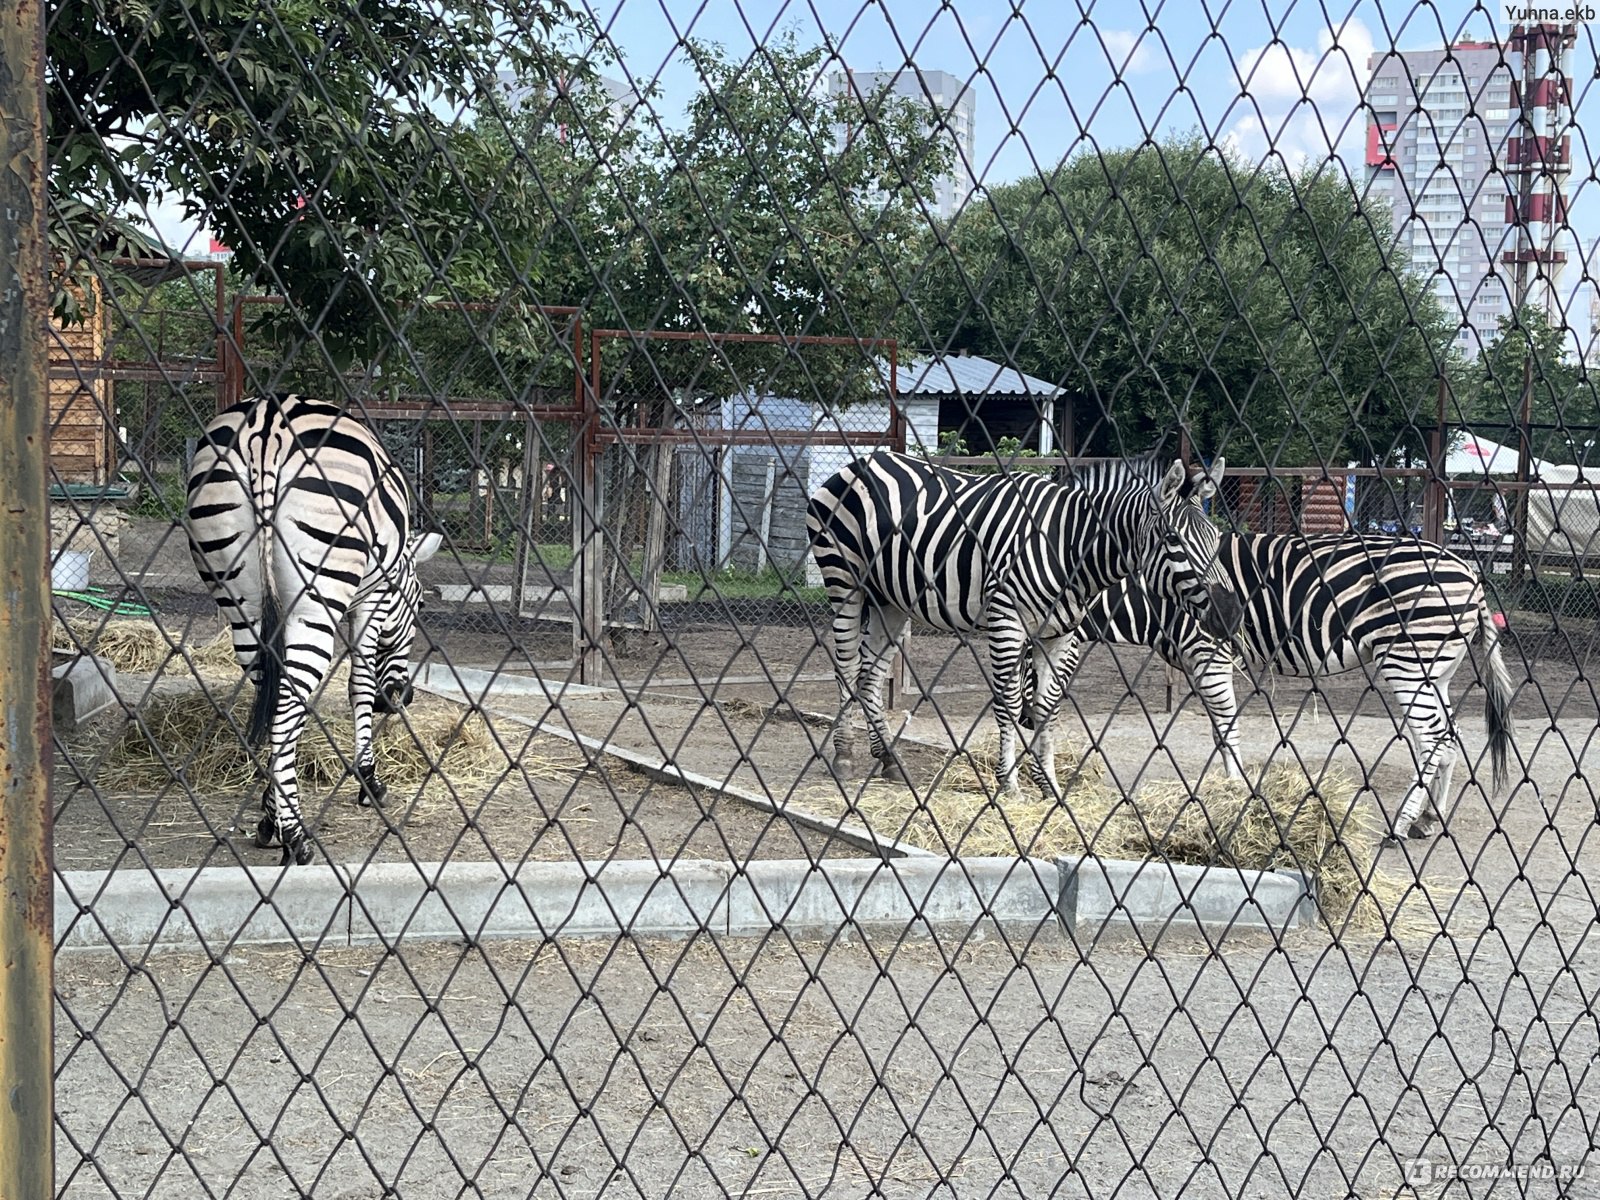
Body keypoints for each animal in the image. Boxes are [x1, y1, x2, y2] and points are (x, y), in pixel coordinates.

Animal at [184, 400, 441, 870]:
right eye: (418, 606)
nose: (400, 698)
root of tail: (266, 427)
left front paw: (268, 814)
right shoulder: (371, 598)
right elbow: (359, 683)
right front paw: (369, 780)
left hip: (241, 596)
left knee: (271, 693)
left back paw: (275, 822)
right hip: (317, 591)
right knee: (289, 702)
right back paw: (296, 837)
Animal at [806, 451, 1241, 800]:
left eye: (1216, 536)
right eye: (1172, 538)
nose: (1231, 613)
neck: (1070, 547)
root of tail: (862, 461)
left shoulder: (1059, 633)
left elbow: (1047, 706)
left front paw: (1048, 785)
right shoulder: (1007, 621)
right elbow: (1011, 702)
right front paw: (1009, 783)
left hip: (890, 599)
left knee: (871, 675)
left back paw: (890, 760)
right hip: (844, 580)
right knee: (847, 667)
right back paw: (844, 757)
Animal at [1049, 534, 1510, 844]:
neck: (1149, 594)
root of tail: (1472, 576)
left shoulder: (1209, 651)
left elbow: (1227, 729)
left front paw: (1235, 795)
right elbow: (1217, 731)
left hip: (1411, 659)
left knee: (1433, 738)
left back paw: (1400, 825)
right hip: (1436, 669)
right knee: (1448, 735)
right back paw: (1429, 818)